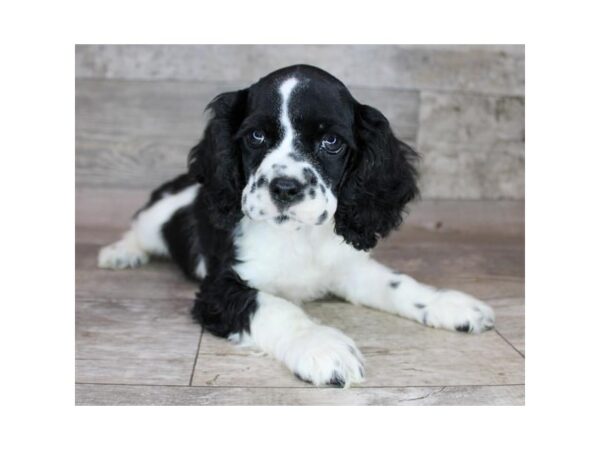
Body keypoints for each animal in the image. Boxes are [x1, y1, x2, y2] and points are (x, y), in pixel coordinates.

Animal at [98, 63, 494, 386]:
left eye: (331, 141)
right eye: (256, 136)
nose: (285, 188)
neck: (298, 237)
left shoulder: (347, 268)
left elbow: (396, 283)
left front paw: (448, 304)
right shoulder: (220, 289)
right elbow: (274, 306)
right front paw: (322, 346)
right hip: (157, 218)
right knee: (139, 228)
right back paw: (120, 253)